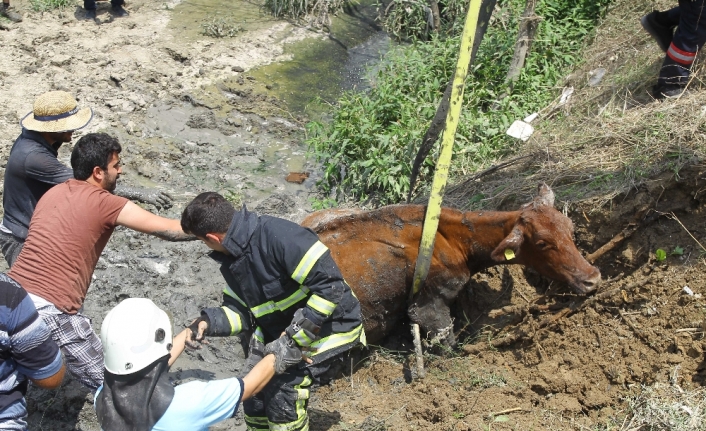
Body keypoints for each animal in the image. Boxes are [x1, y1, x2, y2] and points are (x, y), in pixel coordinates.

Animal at [302, 184, 600, 346]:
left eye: (570, 228)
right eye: (541, 243)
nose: (592, 278)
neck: (455, 239)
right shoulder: (429, 304)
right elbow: (449, 342)